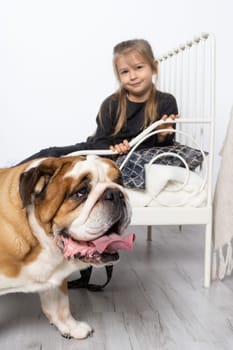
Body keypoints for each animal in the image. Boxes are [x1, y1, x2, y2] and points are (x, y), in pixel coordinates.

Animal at [0, 156, 133, 340]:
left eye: (120, 182)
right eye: (81, 192)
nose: (115, 193)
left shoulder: (56, 277)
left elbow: (60, 305)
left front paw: (70, 326)